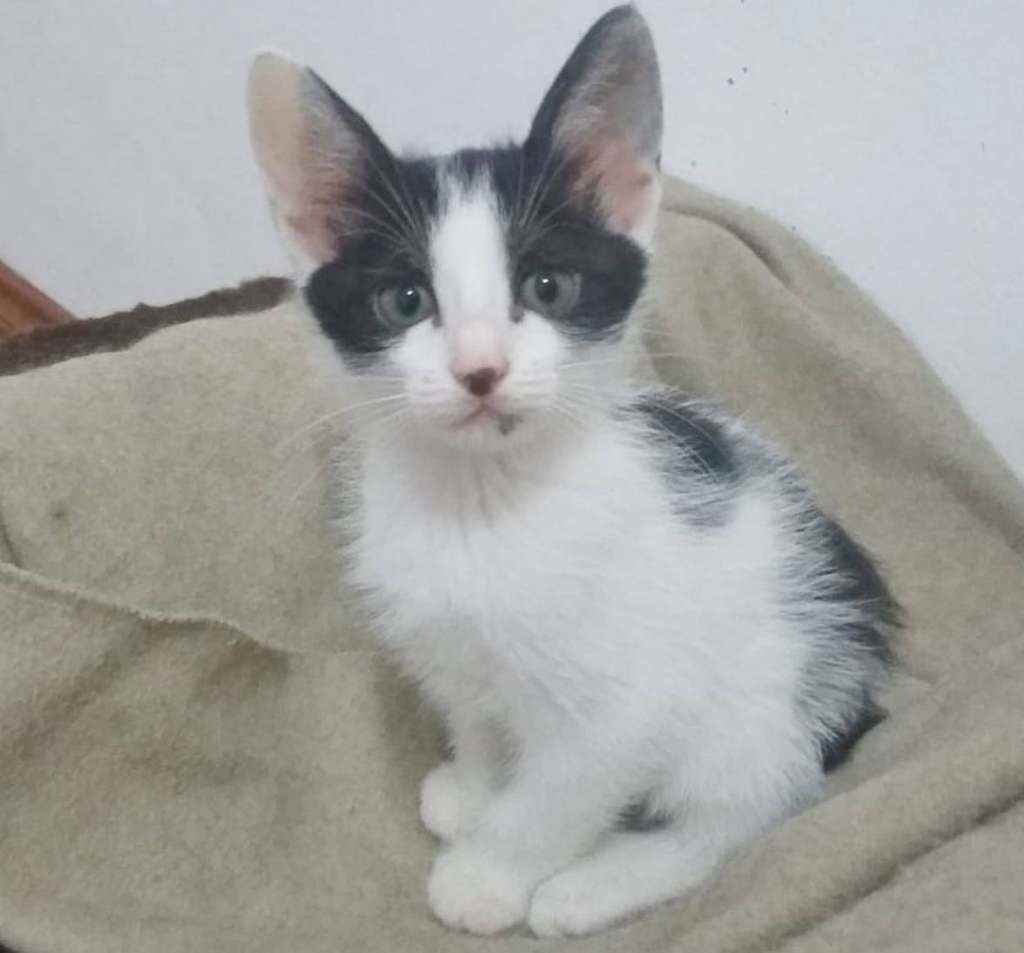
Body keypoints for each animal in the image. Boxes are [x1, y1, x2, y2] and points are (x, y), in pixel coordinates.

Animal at [247, 4, 897, 938]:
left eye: (548, 287)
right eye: (404, 301)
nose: (479, 369)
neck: (486, 507)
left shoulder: (622, 708)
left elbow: (555, 798)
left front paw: (486, 875)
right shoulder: (447, 640)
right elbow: (479, 716)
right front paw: (474, 788)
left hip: (765, 701)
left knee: (745, 811)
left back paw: (599, 884)